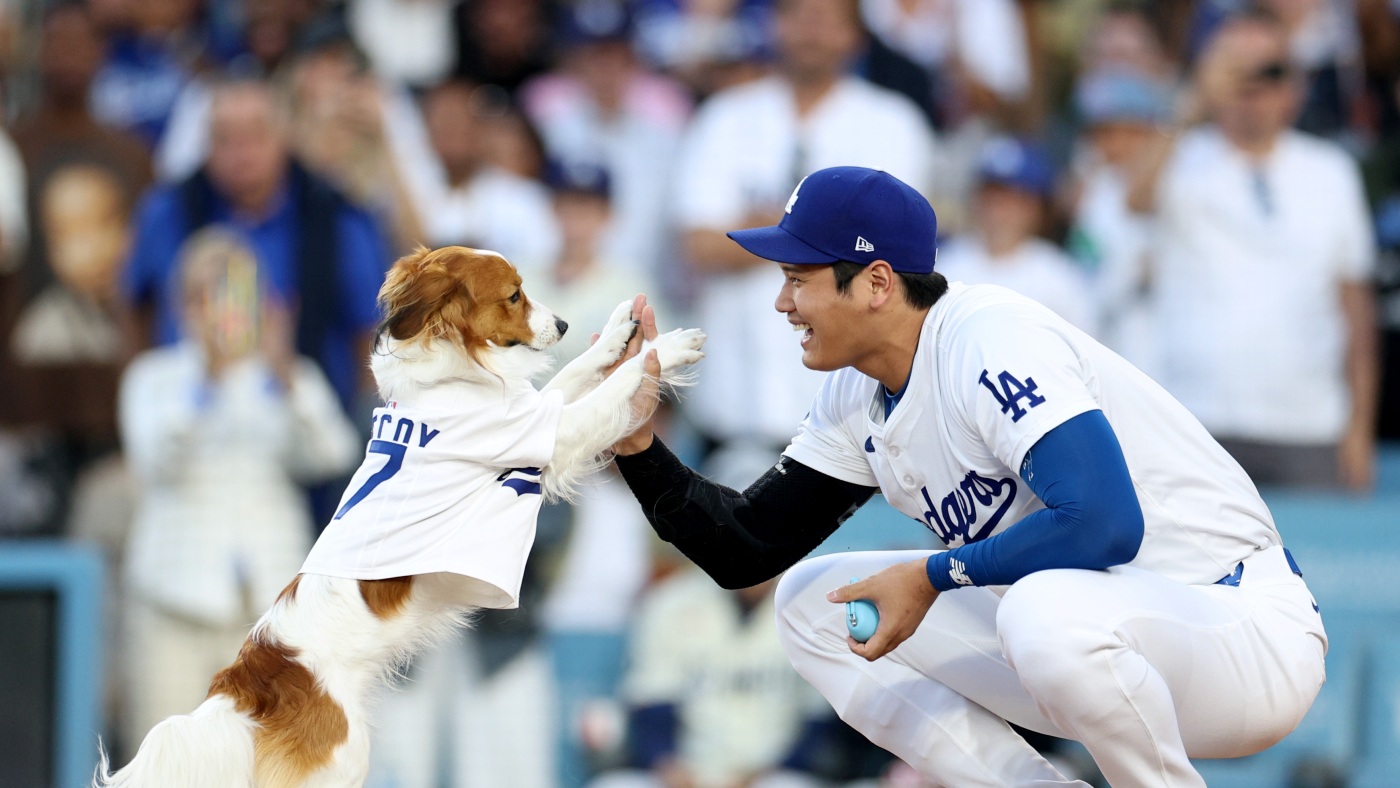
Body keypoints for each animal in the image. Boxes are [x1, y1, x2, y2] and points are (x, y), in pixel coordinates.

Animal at [97, 246, 705, 788]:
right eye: (514, 295)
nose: (562, 322)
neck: (446, 379)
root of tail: (247, 687)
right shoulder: (546, 435)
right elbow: (617, 386)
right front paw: (667, 348)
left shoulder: (532, 413)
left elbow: (577, 373)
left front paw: (621, 330)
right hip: (342, 766)